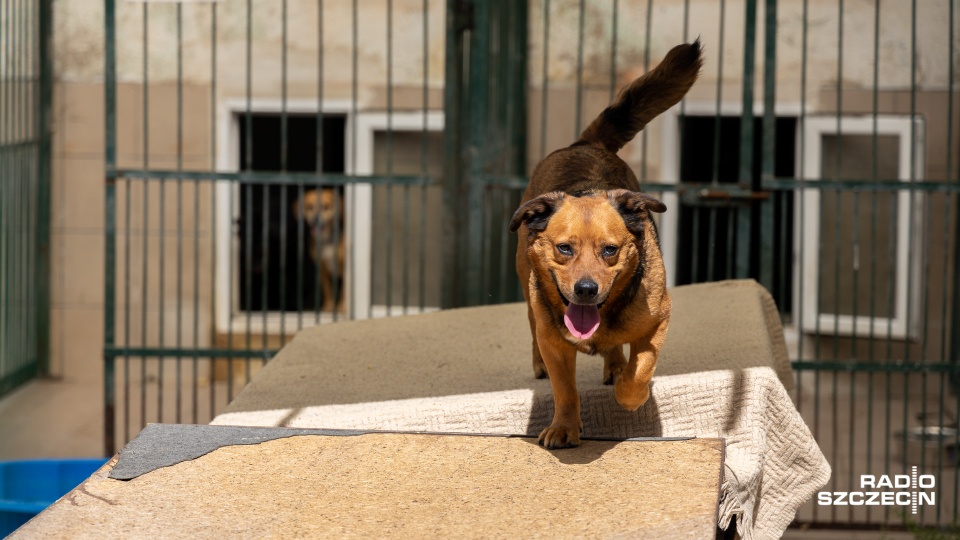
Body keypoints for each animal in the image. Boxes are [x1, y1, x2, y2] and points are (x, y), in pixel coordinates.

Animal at [506, 40, 700, 450]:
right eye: (564, 248)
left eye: (610, 250)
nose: (585, 289)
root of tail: (586, 143)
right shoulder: (555, 342)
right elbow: (565, 389)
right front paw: (564, 427)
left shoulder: (658, 320)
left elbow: (641, 368)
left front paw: (629, 394)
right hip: (527, 289)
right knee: (533, 325)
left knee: (620, 354)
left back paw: (615, 366)